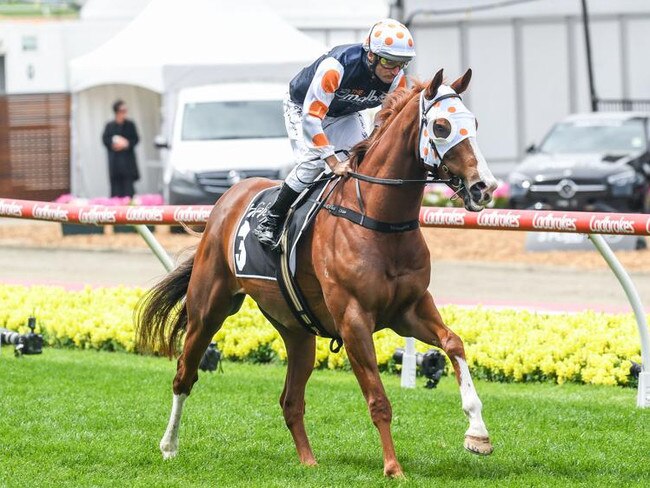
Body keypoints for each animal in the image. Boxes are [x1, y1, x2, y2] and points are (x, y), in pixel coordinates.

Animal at [138, 68, 496, 476]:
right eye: (440, 126)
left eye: (474, 123)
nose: (484, 187)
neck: (379, 220)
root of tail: (229, 198)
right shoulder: (354, 319)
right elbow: (378, 399)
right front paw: (393, 467)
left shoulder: (410, 309)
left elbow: (453, 343)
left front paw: (478, 433)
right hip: (209, 308)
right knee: (185, 373)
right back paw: (169, 445)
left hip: (296, 330)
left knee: (290, 400)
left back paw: (308, 461)